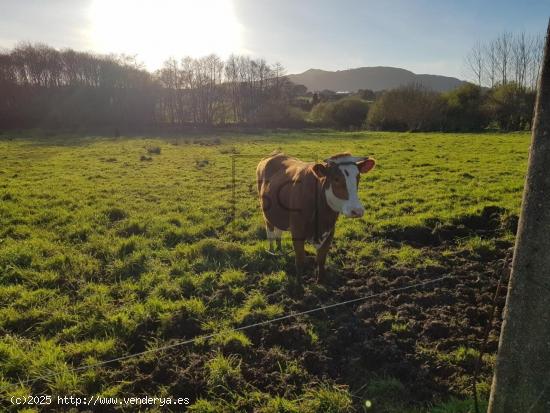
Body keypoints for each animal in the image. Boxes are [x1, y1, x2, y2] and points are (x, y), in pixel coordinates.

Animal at [256, 150, 378, 278]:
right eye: (336, 179)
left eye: (358, 177)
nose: (357, 211)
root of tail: (276, 153)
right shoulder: (297, 231)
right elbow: (300, 261)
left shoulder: (329, 231)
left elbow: (321, 260)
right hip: (267, 214)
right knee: (270, 233)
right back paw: (272, 252)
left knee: (278, 233)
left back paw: (279, 250)